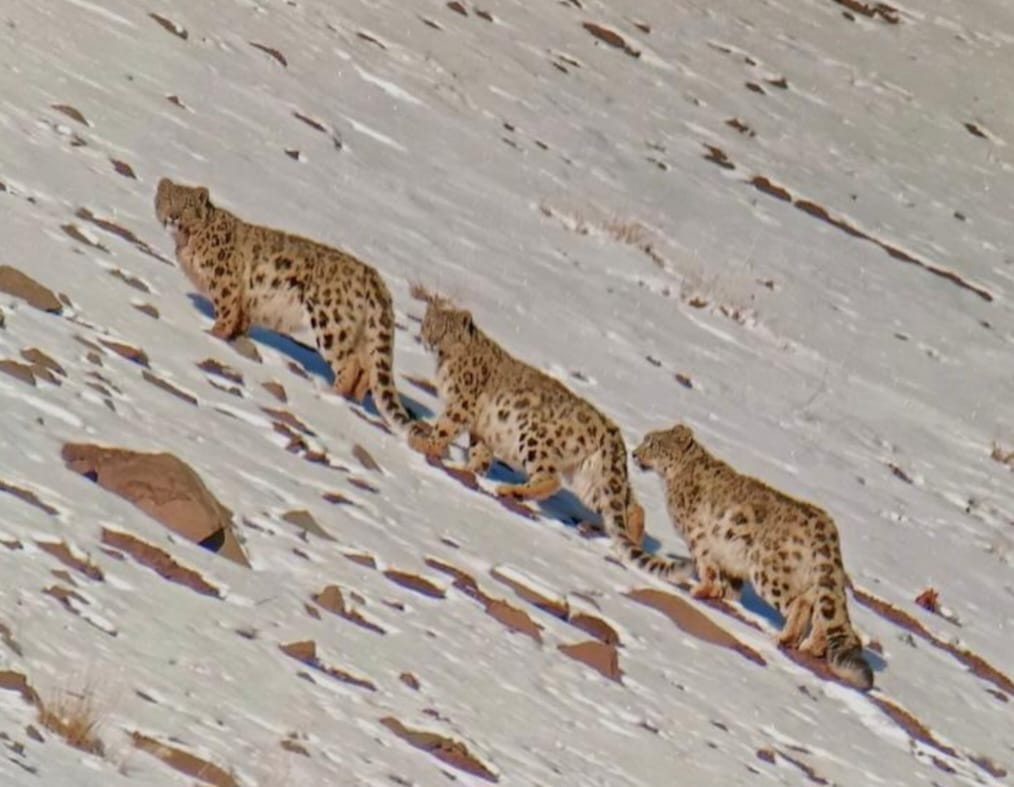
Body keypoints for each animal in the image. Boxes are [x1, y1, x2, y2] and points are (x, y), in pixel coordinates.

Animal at [154, 178, 411, 431]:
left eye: (187, 205)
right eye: (169, 199)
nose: (173, 216)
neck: (187, 241)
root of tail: (374, 276)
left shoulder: (224, 280)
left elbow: (226, 313)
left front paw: (213, 334)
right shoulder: (245, 303)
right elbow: (240, 322)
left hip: (331, 322)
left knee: (351, 364)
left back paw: (330, 393)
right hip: (363, 333)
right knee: (368, 370)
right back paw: (354, 400)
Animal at [405, 291, 694, 579]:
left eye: (445, 329)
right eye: (428, 323)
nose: (429, 340)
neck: (445, 361)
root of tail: (612, 431)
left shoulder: (461, 404)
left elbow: (445, 427)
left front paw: (424, 442)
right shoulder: (480, 429)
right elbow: (480, 452)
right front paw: (469, 469)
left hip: (534, 436)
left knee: (550, 479)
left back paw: (511, 490)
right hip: (591, 477)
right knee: (631, 506)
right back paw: (626, 540)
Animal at [633, 423, 874, 690]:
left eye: (653, 443)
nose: (634, 454)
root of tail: (827, 527)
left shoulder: (696, 535)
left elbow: (706, 564)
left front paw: (702, 589)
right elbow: (729, 582)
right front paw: (724, 595)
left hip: (768, 570)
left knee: (799, 602)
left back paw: (785, 637)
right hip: (814, 579)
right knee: (822, 612)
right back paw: (811, 647)